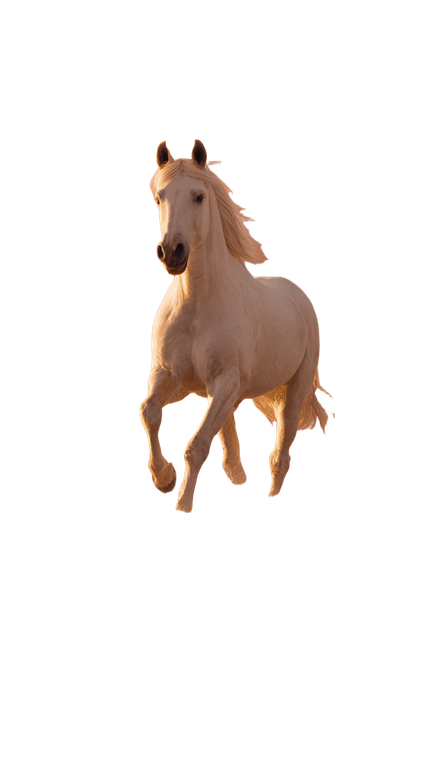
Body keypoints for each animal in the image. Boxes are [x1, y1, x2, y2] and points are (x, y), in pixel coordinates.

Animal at [138, 138, 335, 514]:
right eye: (159, 196)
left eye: (199, 196)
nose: (172, 252)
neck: (198, 305)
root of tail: (298, 295)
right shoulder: (170, 376)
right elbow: (149, 411)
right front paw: (163, 477)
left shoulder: (225, 380)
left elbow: (195, 447)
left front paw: (182, 504)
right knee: (230, 443)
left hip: (292, 390)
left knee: (279, 455)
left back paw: (271, 494)